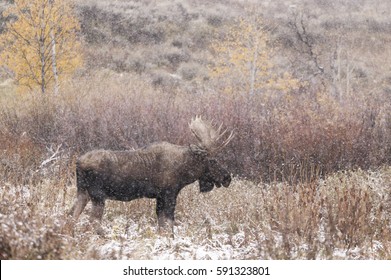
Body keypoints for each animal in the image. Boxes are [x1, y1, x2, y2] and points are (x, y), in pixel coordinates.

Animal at [69, 116, 234, 234]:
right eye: (212, 160)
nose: (227, 177)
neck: (185, 171)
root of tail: (78, 163)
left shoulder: (159, 197)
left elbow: (161, 225)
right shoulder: (169, 193)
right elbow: (169, 225)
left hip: (82, 192)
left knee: (71, 216)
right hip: (98, 196)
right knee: (91, 224)